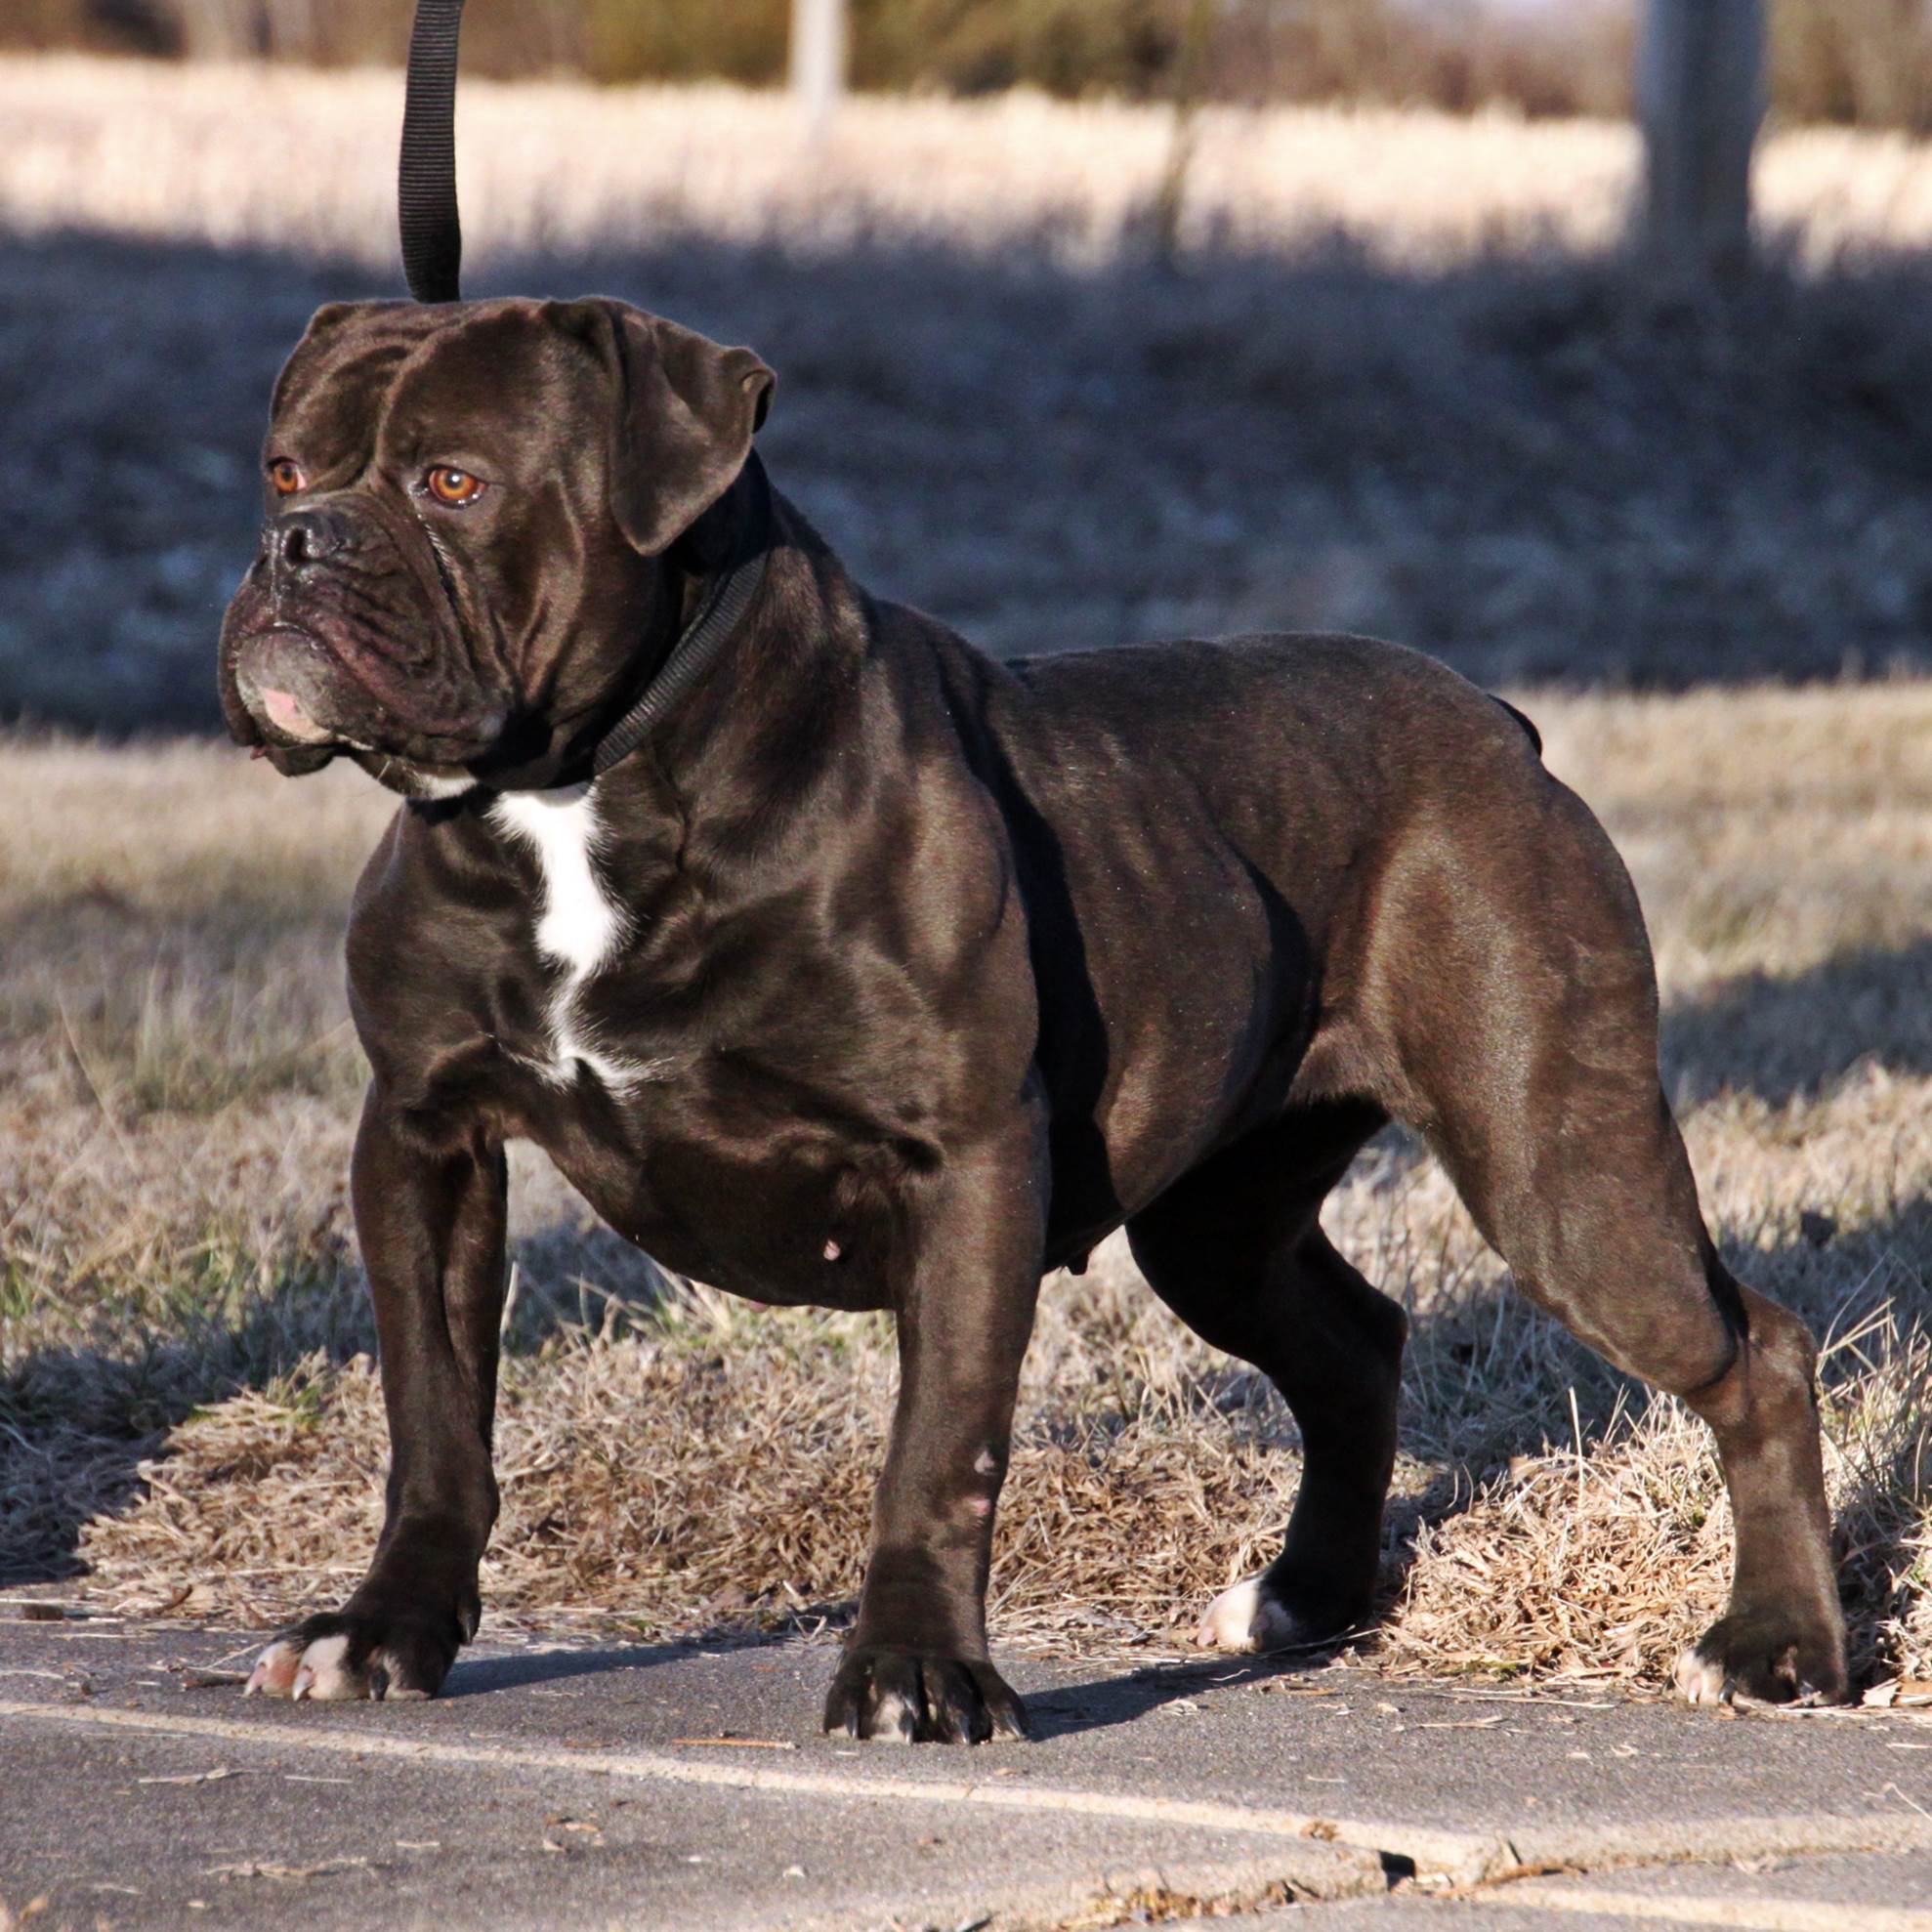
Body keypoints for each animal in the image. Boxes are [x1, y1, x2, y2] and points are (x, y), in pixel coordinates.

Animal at [219, 297, 1846, 1739]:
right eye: (285, 467)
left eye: (454, 482)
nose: (293, 544)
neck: (578, 784)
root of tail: (1498, 723)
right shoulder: (424, 1139)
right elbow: (434, 1418)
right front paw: (383, 1634)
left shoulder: (965, 1162)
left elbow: (941, 1445)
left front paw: (917, 1676)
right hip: (1219, 1226)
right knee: (1352, 1342)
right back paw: (1301, 1599)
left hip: (1554, 1162)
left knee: (1750, 1345)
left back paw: (1776, 1647)